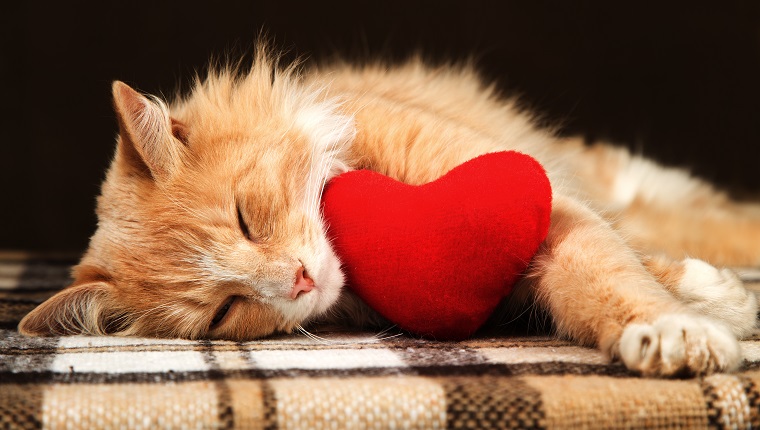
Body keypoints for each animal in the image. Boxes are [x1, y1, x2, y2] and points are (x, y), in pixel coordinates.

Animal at [19, 47, 760, 376]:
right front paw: (700, 311)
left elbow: (616, 275)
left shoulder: (548, 205)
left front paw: (680, 327)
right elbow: (612, 276)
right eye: (224, 312)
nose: (300, 281)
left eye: (245, 216)